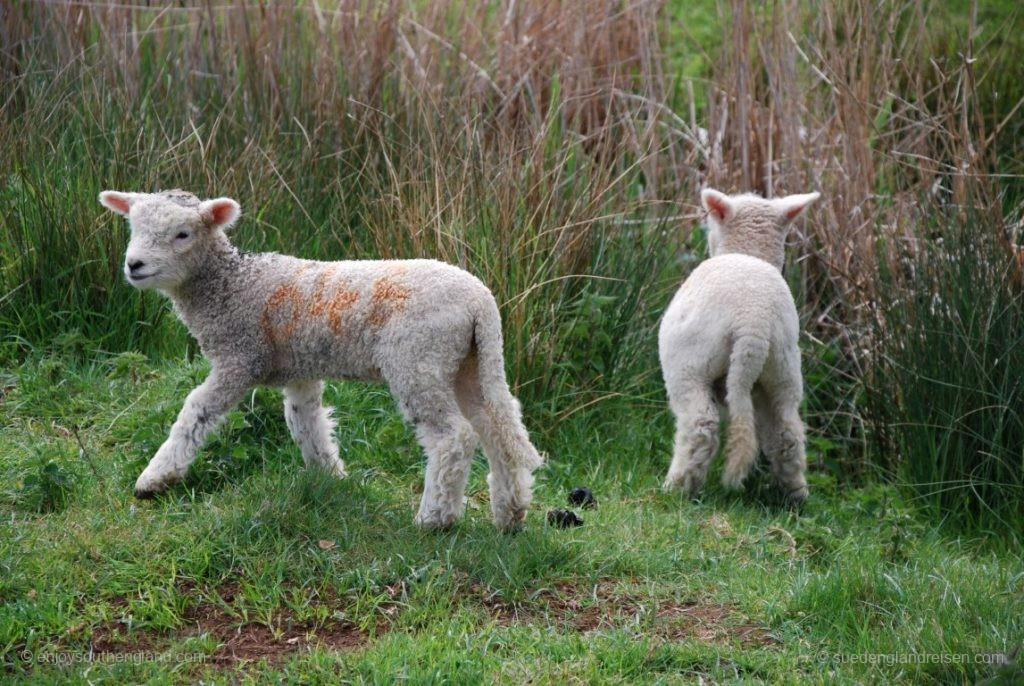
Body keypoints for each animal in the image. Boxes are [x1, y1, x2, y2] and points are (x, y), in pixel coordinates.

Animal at [96, 190, 544, 536]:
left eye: (182, 234)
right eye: (133, 228)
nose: (134, 265)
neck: (230, 284)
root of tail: (481, 302)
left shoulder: (241, 357)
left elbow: (196, 411)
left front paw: (155, 478)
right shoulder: (300, 368)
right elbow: (304, 420)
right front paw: (331, 475)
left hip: (418, 359)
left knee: (454, 437)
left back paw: (435, 518)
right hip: (471, 362)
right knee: (498, 426)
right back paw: (510, 513)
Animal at [659, 190, 819, 501]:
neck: (750, 252)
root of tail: (754, 321)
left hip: (690, 364)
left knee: (700, 425)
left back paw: (677, 487)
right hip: (782, 369)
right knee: (787, 431)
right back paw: (794, 494)